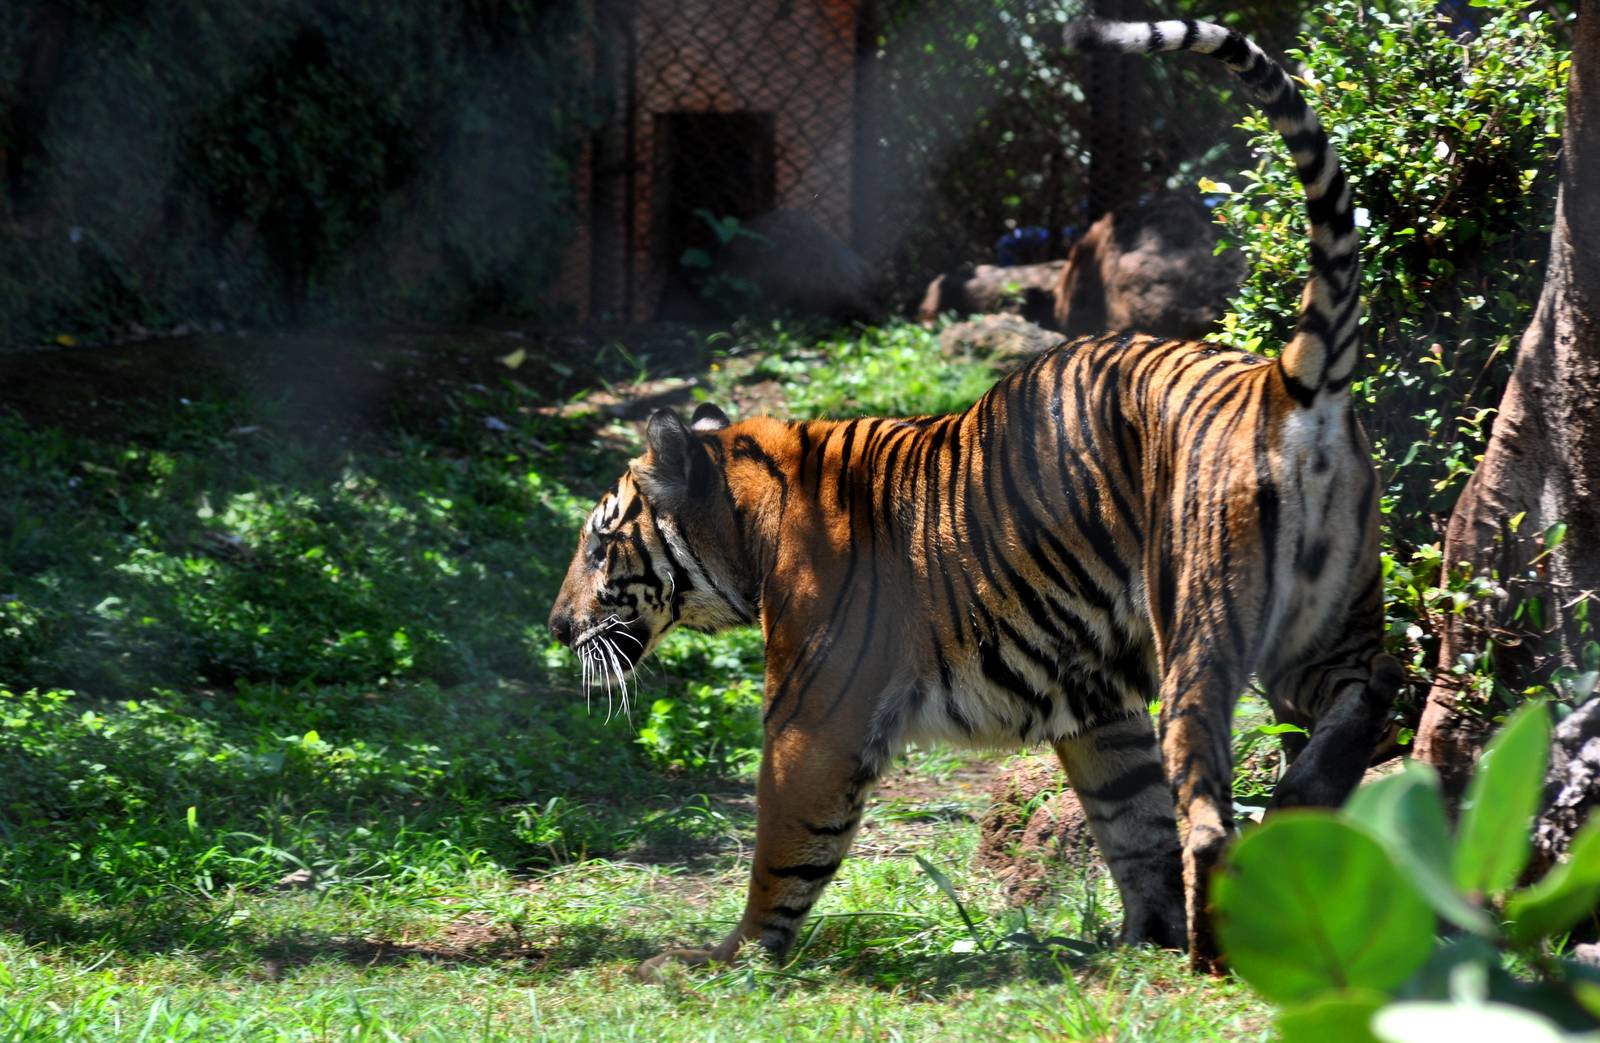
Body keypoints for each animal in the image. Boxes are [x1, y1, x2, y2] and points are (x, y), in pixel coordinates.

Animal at [548, 15, 1402, 976]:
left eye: (597, 545)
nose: (556, 627)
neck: (746, 519)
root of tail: (1282, 379)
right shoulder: (1097, 706)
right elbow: (1131, 818)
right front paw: (1142, 935)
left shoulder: (815, 714)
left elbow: (782, 848)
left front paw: (729, 956)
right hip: (1322, 627)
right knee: (1377, 684)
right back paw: (1297, 809)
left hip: (1200, 629)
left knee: (1212, 810)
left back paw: (1219, 950)